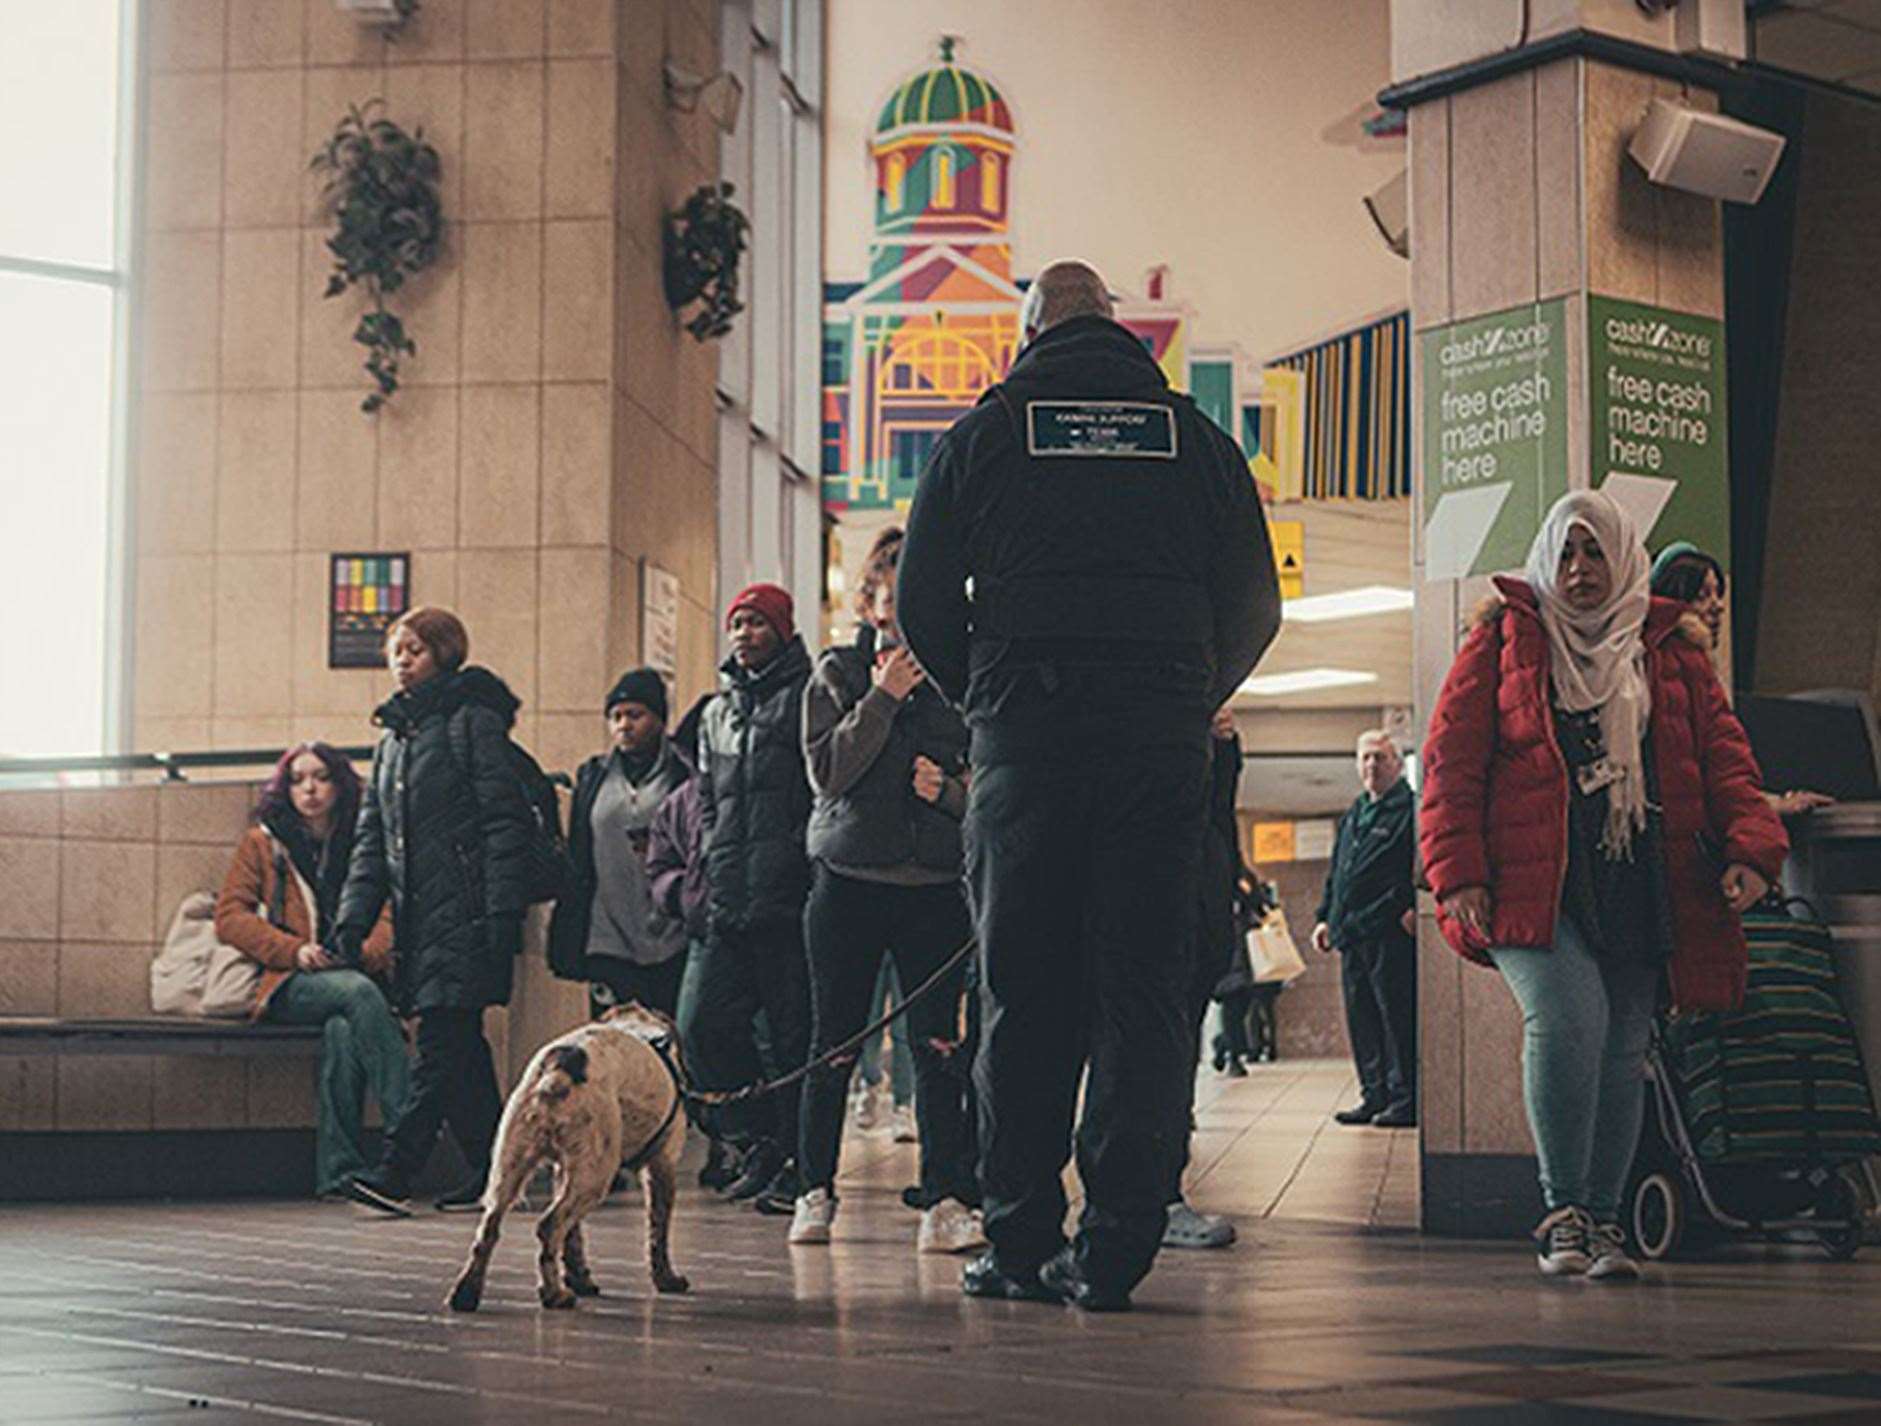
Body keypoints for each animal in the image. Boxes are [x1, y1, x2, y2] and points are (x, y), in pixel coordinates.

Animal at [447, 1000, 692, 1309]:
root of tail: (559, 1069)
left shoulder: (562, 1170)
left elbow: (573, 1238)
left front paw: (580, 1279)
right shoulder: (661, 1166)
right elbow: (658, 1233)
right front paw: (667, 1279)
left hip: (511, 1168)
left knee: (489, 1228)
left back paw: (466, 1292)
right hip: (596, 1177)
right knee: (549, 1226)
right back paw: (553, 1294)